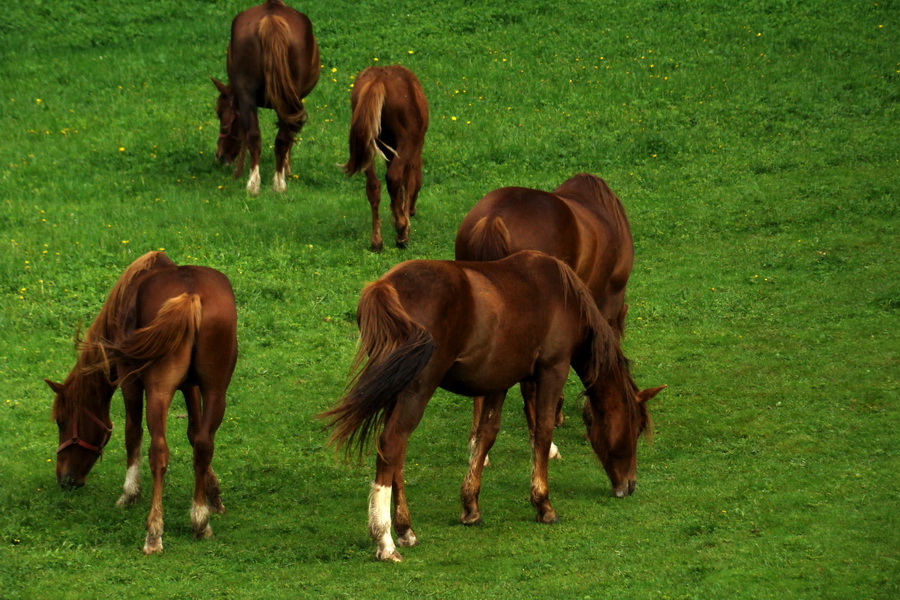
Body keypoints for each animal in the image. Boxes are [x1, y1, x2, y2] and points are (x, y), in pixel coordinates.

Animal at [47, 251, 237, 556]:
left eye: (62, 422)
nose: (64, 479)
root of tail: (191, 295)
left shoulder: (130, 380)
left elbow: (132, 433)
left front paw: (129, 494)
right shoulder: (192, 386)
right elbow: (195, 435)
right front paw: (212, 497)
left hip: (158, 390)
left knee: (158, 451)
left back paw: (154, 532)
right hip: (216, 389)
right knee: (205, 445)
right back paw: (200, 521)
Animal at [212, 0, 320, 196]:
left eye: (220, 113)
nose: (220, 156)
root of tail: (270, 20)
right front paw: (286, 169)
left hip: (249, 94)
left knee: (256, 136)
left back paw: (254, 184)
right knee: (281, 136)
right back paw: (278, 182)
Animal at [322, 251, 660, 560]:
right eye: (636, 429)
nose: (630, 485)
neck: (562, 295)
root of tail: (385, 286)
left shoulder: (498, 382)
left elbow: (486, 435)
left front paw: (470, 506)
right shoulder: (552, 371)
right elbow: (542, 432)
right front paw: (543, 505)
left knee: (396, 454)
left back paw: (405, 530)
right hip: (416, 390)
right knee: (392, 443)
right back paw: (385, 540)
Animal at [342, 65, 430, 251]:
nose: (413, 211)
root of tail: (379, 79)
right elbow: (407, 184)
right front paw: (403, 225)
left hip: (368, 147)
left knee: (373, 186)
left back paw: (376, 241)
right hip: (404, 142)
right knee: (393, 178)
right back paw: (401, 231)